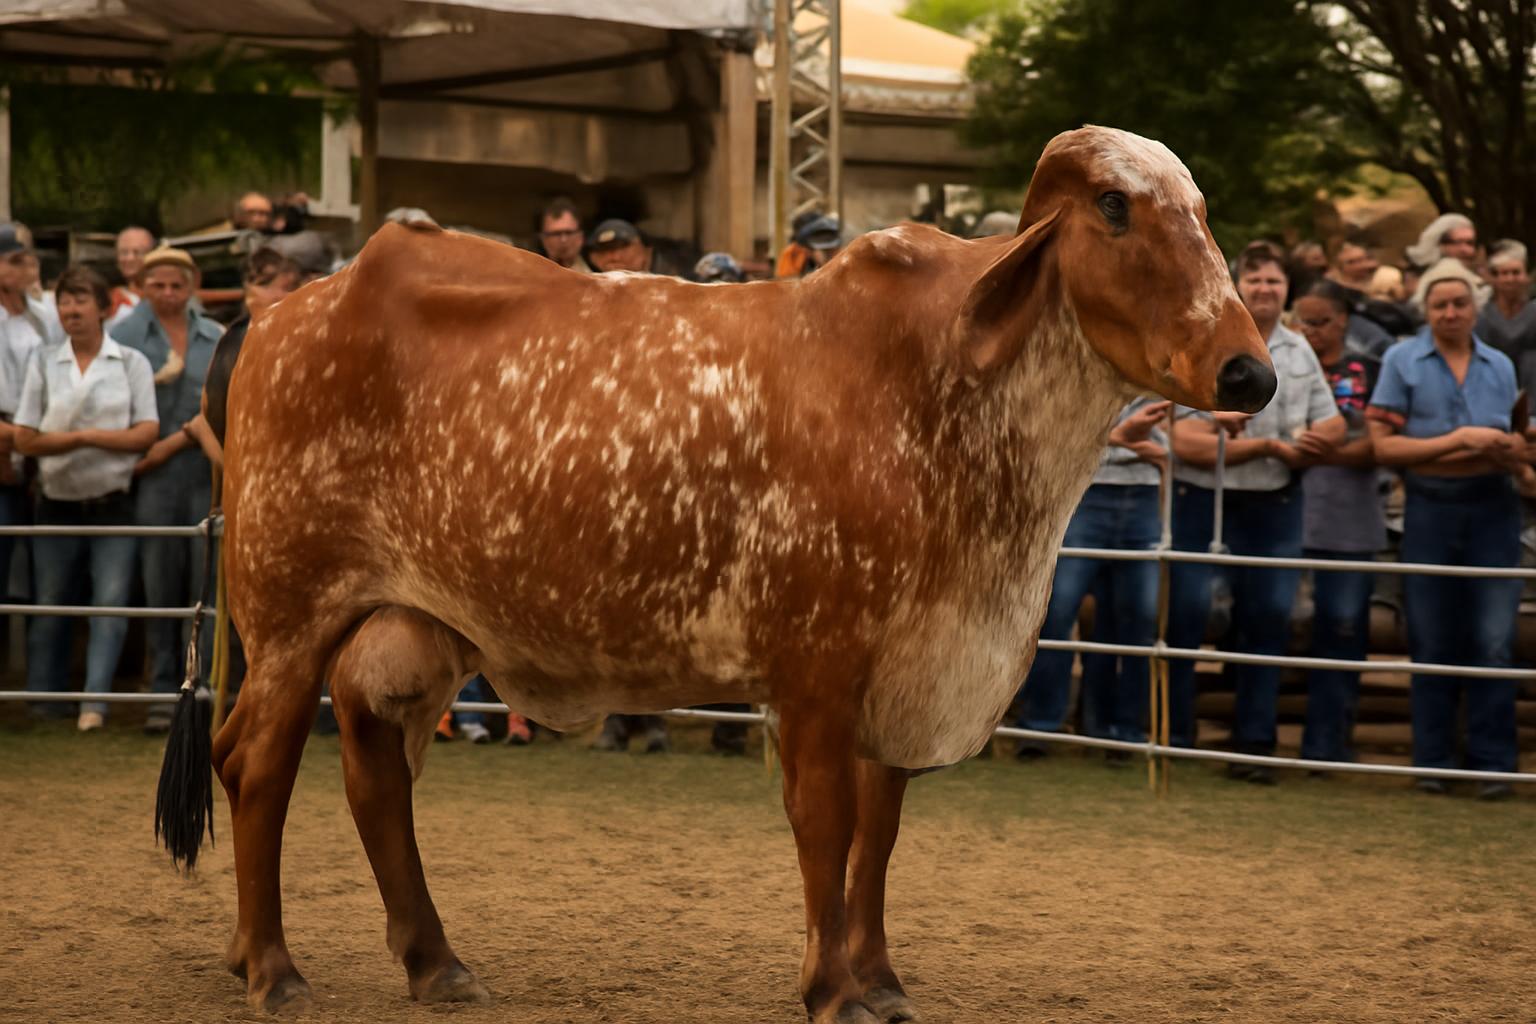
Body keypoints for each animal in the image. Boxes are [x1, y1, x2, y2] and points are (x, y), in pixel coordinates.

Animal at [158, 126, 1275, 1023]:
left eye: (1201, 214)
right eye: (1116, 208)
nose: (1250, 372)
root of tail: (277, 311)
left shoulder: (902, 672)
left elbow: (880, 834)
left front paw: (879, 980)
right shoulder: (818, 666)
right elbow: (827, 825)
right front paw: (832, 988)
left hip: (405, 629)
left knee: (366, 769)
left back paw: (421, 962)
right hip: (291, 616)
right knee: (257, 767)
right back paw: (274, 970)